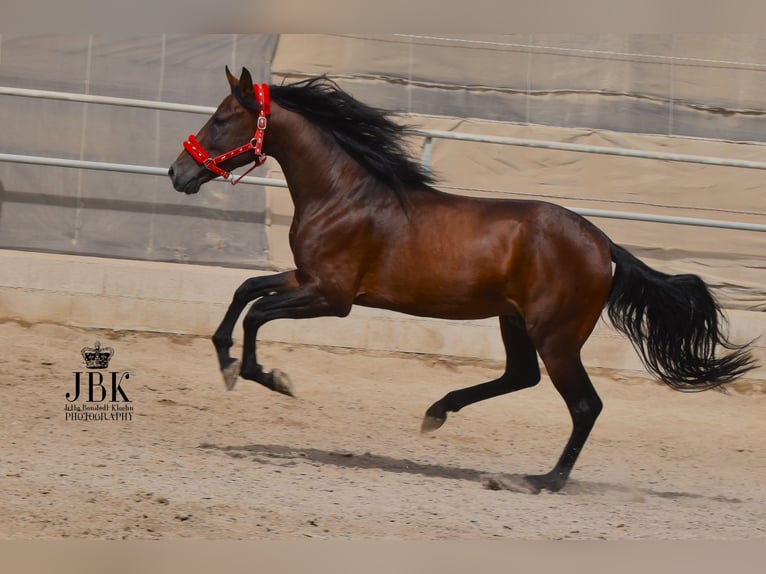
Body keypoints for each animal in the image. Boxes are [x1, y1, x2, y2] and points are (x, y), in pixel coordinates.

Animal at [168, 65, 756, 492]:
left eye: (222, 118)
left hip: (556, 336)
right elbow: (245, 292)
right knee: (521, 376)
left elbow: (258, 313)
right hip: (515, 322)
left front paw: (268, 377)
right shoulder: (304, 277)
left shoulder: (332, 296)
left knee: (585, 405)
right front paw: (226, 362)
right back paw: (436, 414)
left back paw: (540, 480)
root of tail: (604, 245)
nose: (177, 173)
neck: (344, 193)